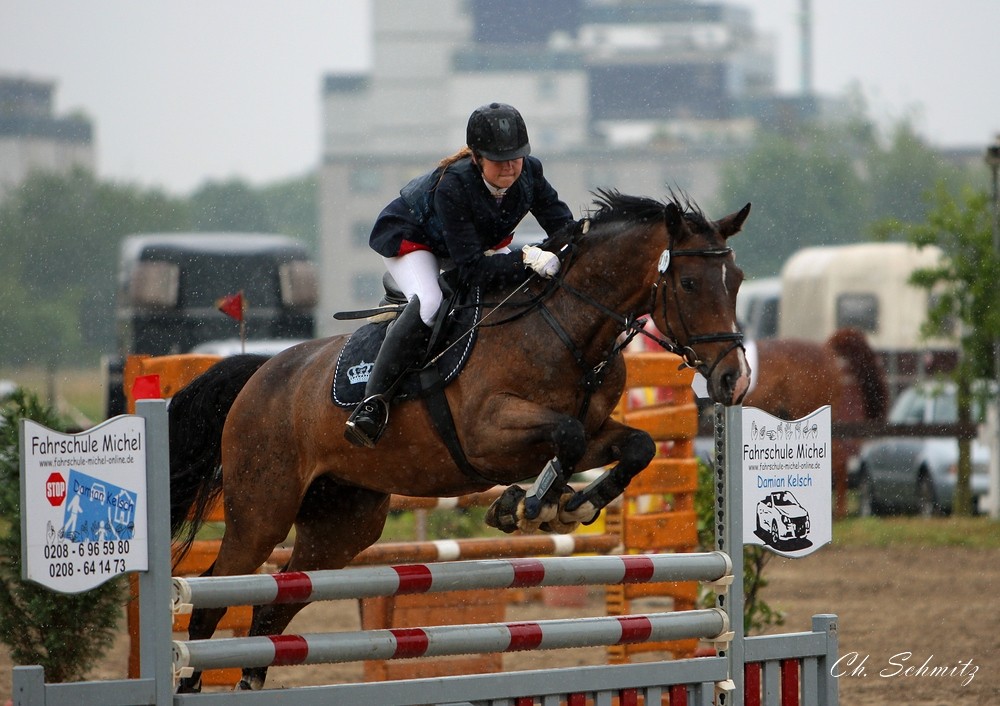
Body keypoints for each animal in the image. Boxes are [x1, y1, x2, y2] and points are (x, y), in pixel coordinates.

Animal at [170, 190, 752, 692]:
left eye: (738, 280)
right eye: (690, 284)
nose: (733, 381)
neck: (566, 326)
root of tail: (261, 371)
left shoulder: (591, 433)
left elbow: (634, 447)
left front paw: (570, 504)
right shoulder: (486, 434)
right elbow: (564, 436)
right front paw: (530, 507)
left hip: (342, 524)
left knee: (277, 601)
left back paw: (250, 679)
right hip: (261, 511)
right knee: (215, 595)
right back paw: (191, 680)